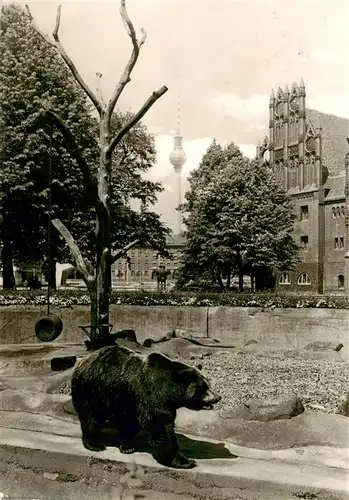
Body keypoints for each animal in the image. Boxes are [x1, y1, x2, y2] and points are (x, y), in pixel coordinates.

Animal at [71, 344, 220, 468]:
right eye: (203, 387)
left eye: (209, 384)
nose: (218, 397)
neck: (170, 391)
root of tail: (83, 361)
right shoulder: (151, 393)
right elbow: (160, 424)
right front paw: (185, 461)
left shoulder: (135, 402)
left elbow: (133, 423)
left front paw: (127, 445)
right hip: (92, 389)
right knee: (92, 415)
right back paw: (94, 444)